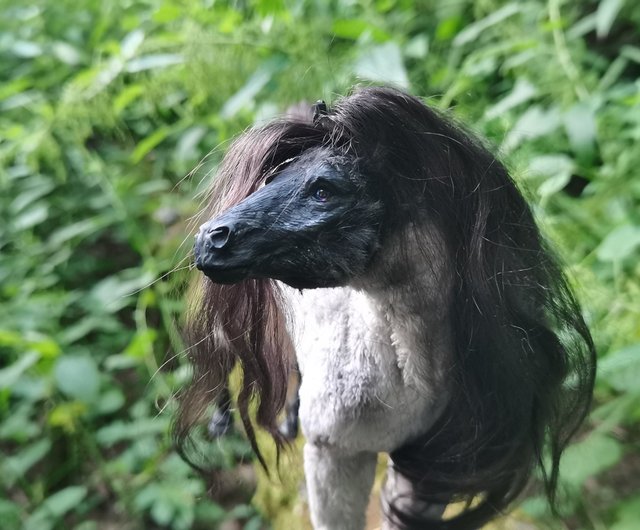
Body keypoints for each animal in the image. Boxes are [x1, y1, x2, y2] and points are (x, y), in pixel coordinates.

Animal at [176, 86, 596, 530]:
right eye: (269, 181)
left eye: (324, 191)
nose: (210, 240)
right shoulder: (333, 457)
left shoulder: (427, 471)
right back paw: (228, 422)